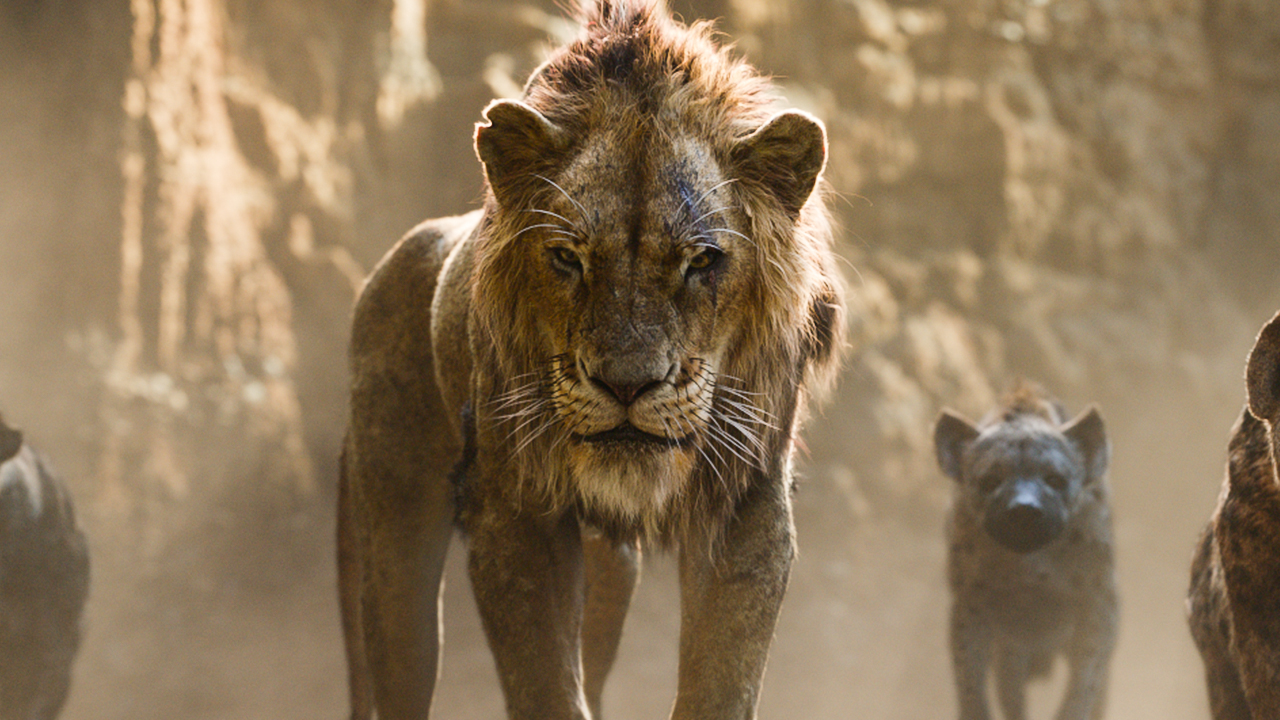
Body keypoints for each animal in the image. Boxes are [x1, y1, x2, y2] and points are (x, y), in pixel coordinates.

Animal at [336, 2, 846, 719]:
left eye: (702, 260)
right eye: (567, 258)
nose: (626, 386)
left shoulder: (748, 499)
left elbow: (722, 678)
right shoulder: (514, 510)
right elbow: (543, 682)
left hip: (610, 569)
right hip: (394, 533)